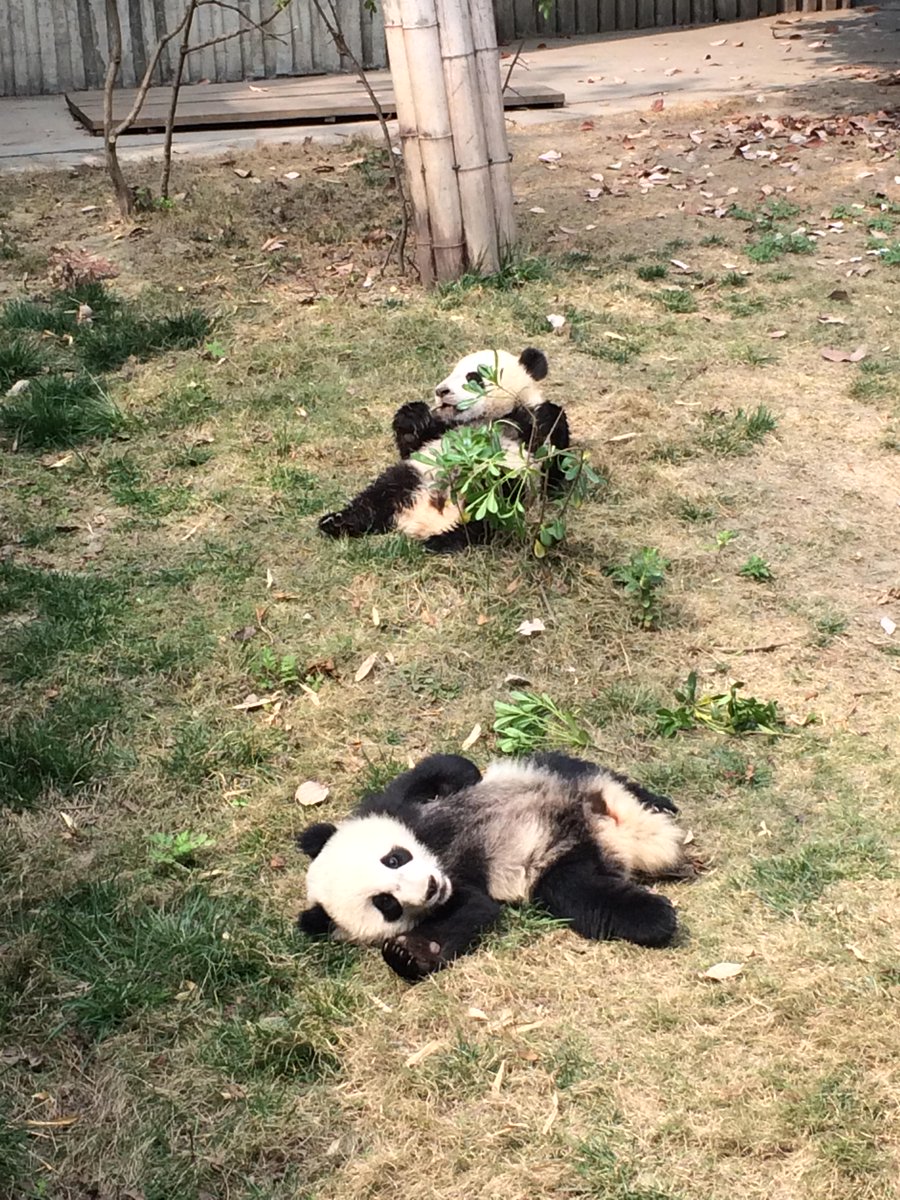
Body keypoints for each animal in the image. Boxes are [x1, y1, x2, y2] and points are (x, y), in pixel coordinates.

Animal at [297, 751, 695, 982]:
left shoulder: (402, 811)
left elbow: (442, 768)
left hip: (557, 774)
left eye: (394, 858)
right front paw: (408, 954)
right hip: (558, 869)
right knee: (585, 894)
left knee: (575, 765)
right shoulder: (460, 889)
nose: (429, 888)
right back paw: (656, 915)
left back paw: (657, 803)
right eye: (387, 904)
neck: (443, 857)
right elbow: (474, 910)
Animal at [316, 347, 570, 554]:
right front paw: (414, 417)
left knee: (492, 513)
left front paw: (547, 417)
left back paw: (444, 540)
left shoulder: (523, 432)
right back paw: (337, 522)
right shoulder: (443, 431)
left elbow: (556, 474)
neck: (485, 420)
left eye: (473, 377)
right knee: (382, 493)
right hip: (417, 474)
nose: (441, 391)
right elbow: (413, 442)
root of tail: (426, 518)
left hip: (499, 487)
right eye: (451, 373)